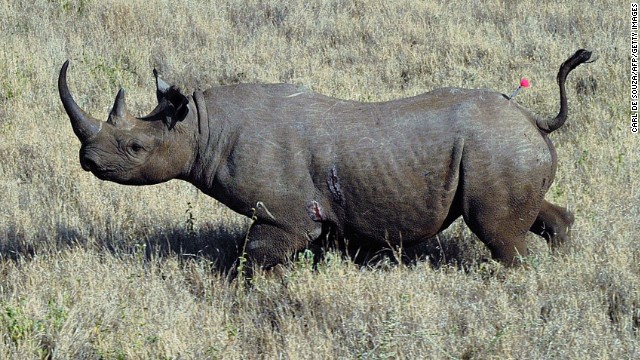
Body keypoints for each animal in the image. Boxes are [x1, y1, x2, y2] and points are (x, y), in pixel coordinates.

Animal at [60, 50, 596, 268]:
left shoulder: (287, 216)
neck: (202, 127)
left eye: (134, 148)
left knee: (497, 231)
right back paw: (561, 264)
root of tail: (533, 118)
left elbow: (255, 255)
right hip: (507, 148)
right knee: (527, 215)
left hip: (496, 149)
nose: (88, 159)